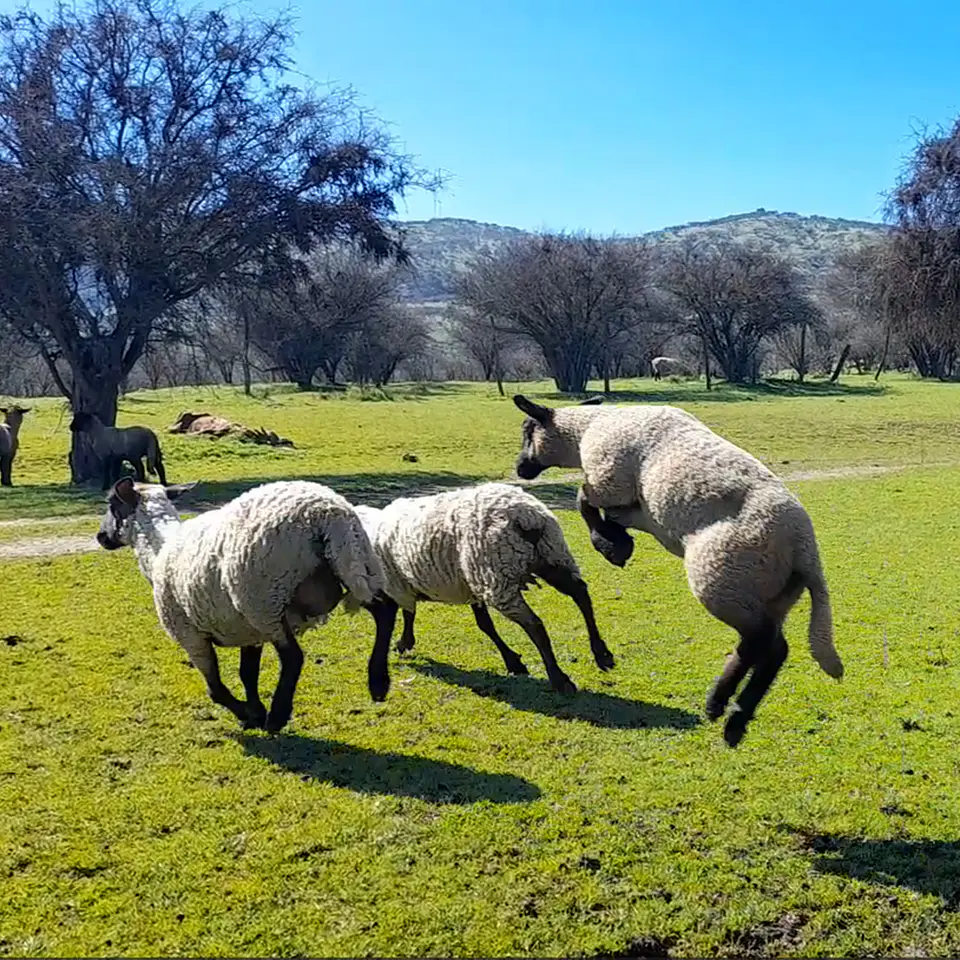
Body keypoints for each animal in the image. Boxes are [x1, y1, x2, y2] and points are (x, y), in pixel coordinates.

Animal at [94, 477, 397, 732]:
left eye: (111, 504)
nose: (100, 537)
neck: (158, 550)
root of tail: (326, 513)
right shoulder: (247, 632)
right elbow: (247, 674)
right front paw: (254, 710)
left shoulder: (190, 636)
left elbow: (216, 689)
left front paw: (250, 714)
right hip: (353, 564)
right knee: (385, 610)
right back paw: (378, 683)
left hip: (265, 601)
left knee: (293, 657)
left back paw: (278, 715)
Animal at [345, 482, 614, 694]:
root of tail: (526, 516)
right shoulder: (472, 587)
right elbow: (485, 625)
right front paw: (513, 662)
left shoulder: (399, 585)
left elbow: (409, 613)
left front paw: (403, 642)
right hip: (551, 556)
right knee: (581, 595)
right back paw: (602, 654)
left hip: (499, 575)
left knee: (535, 625)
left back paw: (559, 678)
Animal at [512, 394, 843, 746]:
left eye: (528, 431)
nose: (519, 468)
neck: (588, 429)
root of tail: (804, 550)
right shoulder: (637, 511)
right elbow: (601, 510)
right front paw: (617, 542)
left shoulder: (609, 482)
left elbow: (582, 499)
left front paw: (610, 546)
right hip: (772, 595)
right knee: (774, 649)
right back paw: (730, 716)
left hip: (722, 579)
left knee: (759, 641)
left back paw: (723, 707)